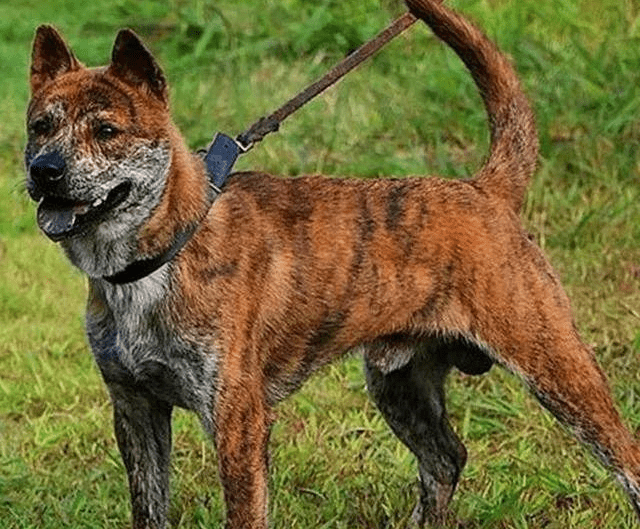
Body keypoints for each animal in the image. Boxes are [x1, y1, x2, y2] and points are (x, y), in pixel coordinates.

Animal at [25, 0, 640, 524]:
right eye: (40, 126)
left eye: (107, 130)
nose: (44, 170)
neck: (159, 257)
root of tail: (485, 190)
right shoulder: (136, 409)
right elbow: (149, 509)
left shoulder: (237, 422)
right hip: (399, 385)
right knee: (445, 459)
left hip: (558, 368)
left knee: (626, 460)